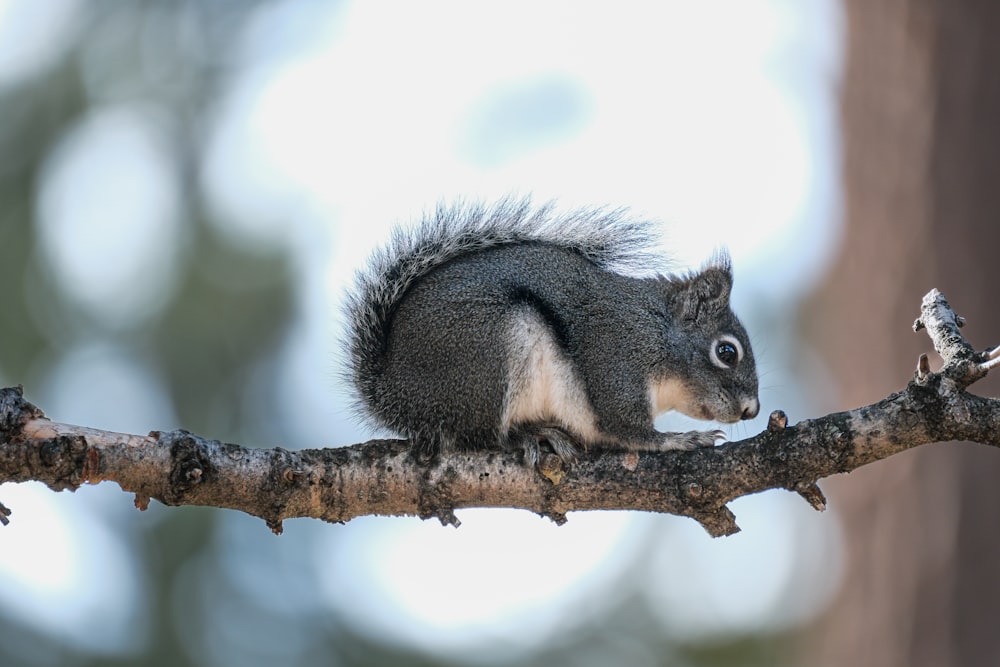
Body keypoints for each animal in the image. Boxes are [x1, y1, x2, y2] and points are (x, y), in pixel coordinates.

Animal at [344, 197, 756, 464]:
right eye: (726, 352)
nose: (752, 410)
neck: (653, 332)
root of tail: (393, 390)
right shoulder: (616, 360)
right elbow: (629, 431)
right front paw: (682, 440)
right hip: (489, 353)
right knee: (479, 436)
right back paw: (529, 434)